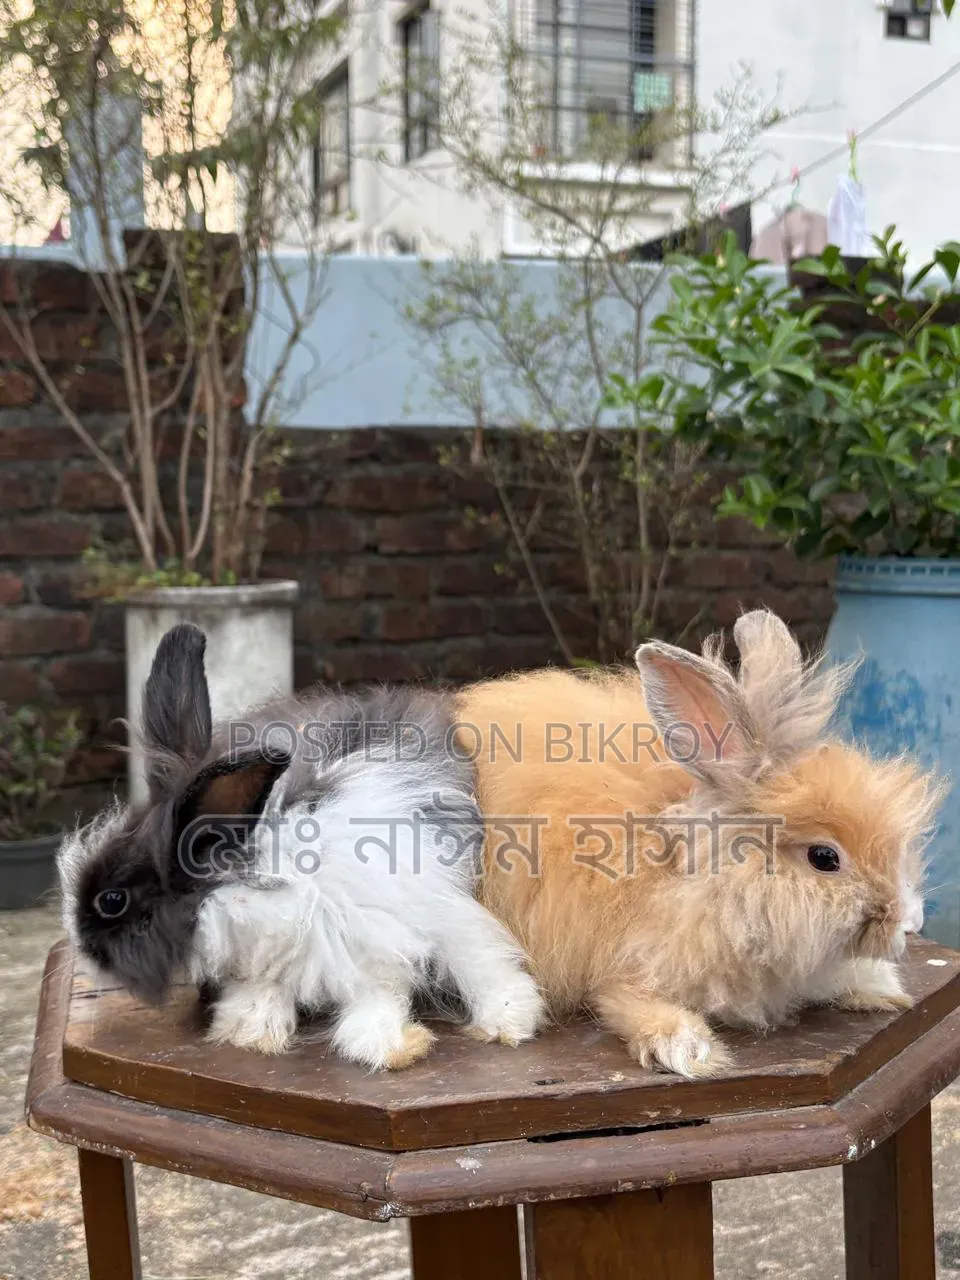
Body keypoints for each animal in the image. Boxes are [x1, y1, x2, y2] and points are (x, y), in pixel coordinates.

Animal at [59, 623, 544, 1069]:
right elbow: (264, 992)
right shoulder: (271, 959)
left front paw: (394, 1047)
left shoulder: (383, 928)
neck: (258, 873)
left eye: (112, 899)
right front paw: (251, 1032)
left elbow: (388, 990)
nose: (82, 946)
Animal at [456, 609, 942, 1079]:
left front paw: (880, 987)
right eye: (824, 858)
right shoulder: (624, 960)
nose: (911, 923)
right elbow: (626, 999)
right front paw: (686, 1048)